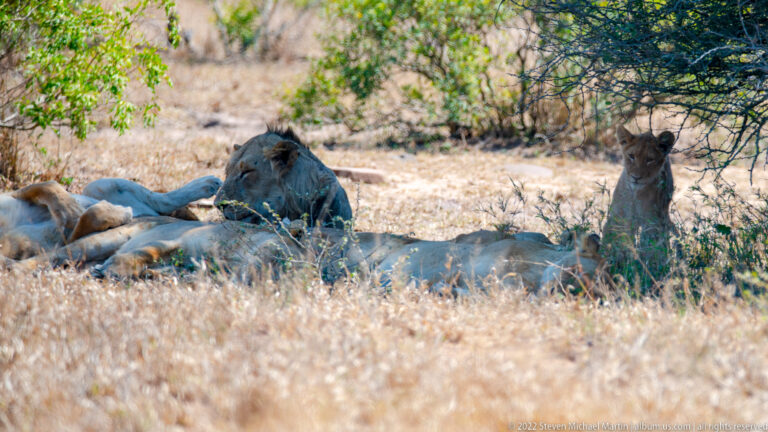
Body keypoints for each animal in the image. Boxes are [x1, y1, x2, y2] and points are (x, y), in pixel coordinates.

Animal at [602, 125, 676, 263]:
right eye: (631, 156)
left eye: (650, 160)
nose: (636, 177)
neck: (635, 194)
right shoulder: (619, 215)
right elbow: (615, 236)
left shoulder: (652, 221)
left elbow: (651, 246)